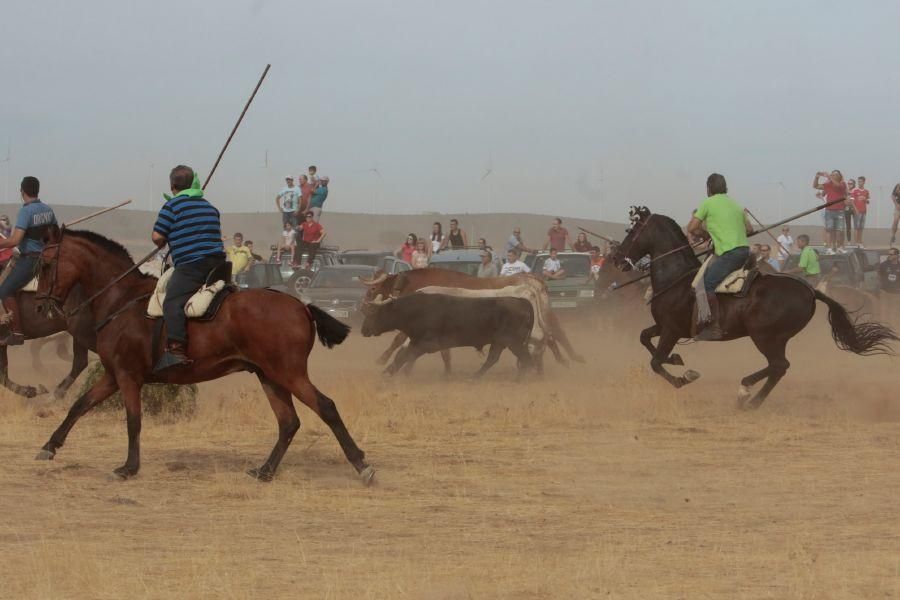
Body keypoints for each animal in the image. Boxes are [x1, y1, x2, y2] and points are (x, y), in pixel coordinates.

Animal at [31, 230, 370, 482]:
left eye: (46, 264)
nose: (39, 306)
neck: (121, 300)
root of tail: (301, 306)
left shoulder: (127, 377)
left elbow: (133, 420)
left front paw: (129, 467)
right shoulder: (113, 375)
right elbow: (79, 405)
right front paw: (49, 446)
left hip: (289, 373)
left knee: (325, 407)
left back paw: (362, 466)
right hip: (269, 376)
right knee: (288, 422)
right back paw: (265, 470)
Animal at [608, 209, 896, 410]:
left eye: (631, 232)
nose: (616, 259)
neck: (676, 277)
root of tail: (811, 290)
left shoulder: (671, 329)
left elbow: (656, 362)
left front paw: (684, 377)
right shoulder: (666, 327)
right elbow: (644, 338)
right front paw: (677, 359)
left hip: (765, 335)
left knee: (779, 365)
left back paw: (746, 393)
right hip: (775, 338)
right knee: (778, 367)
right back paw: (750, 398)